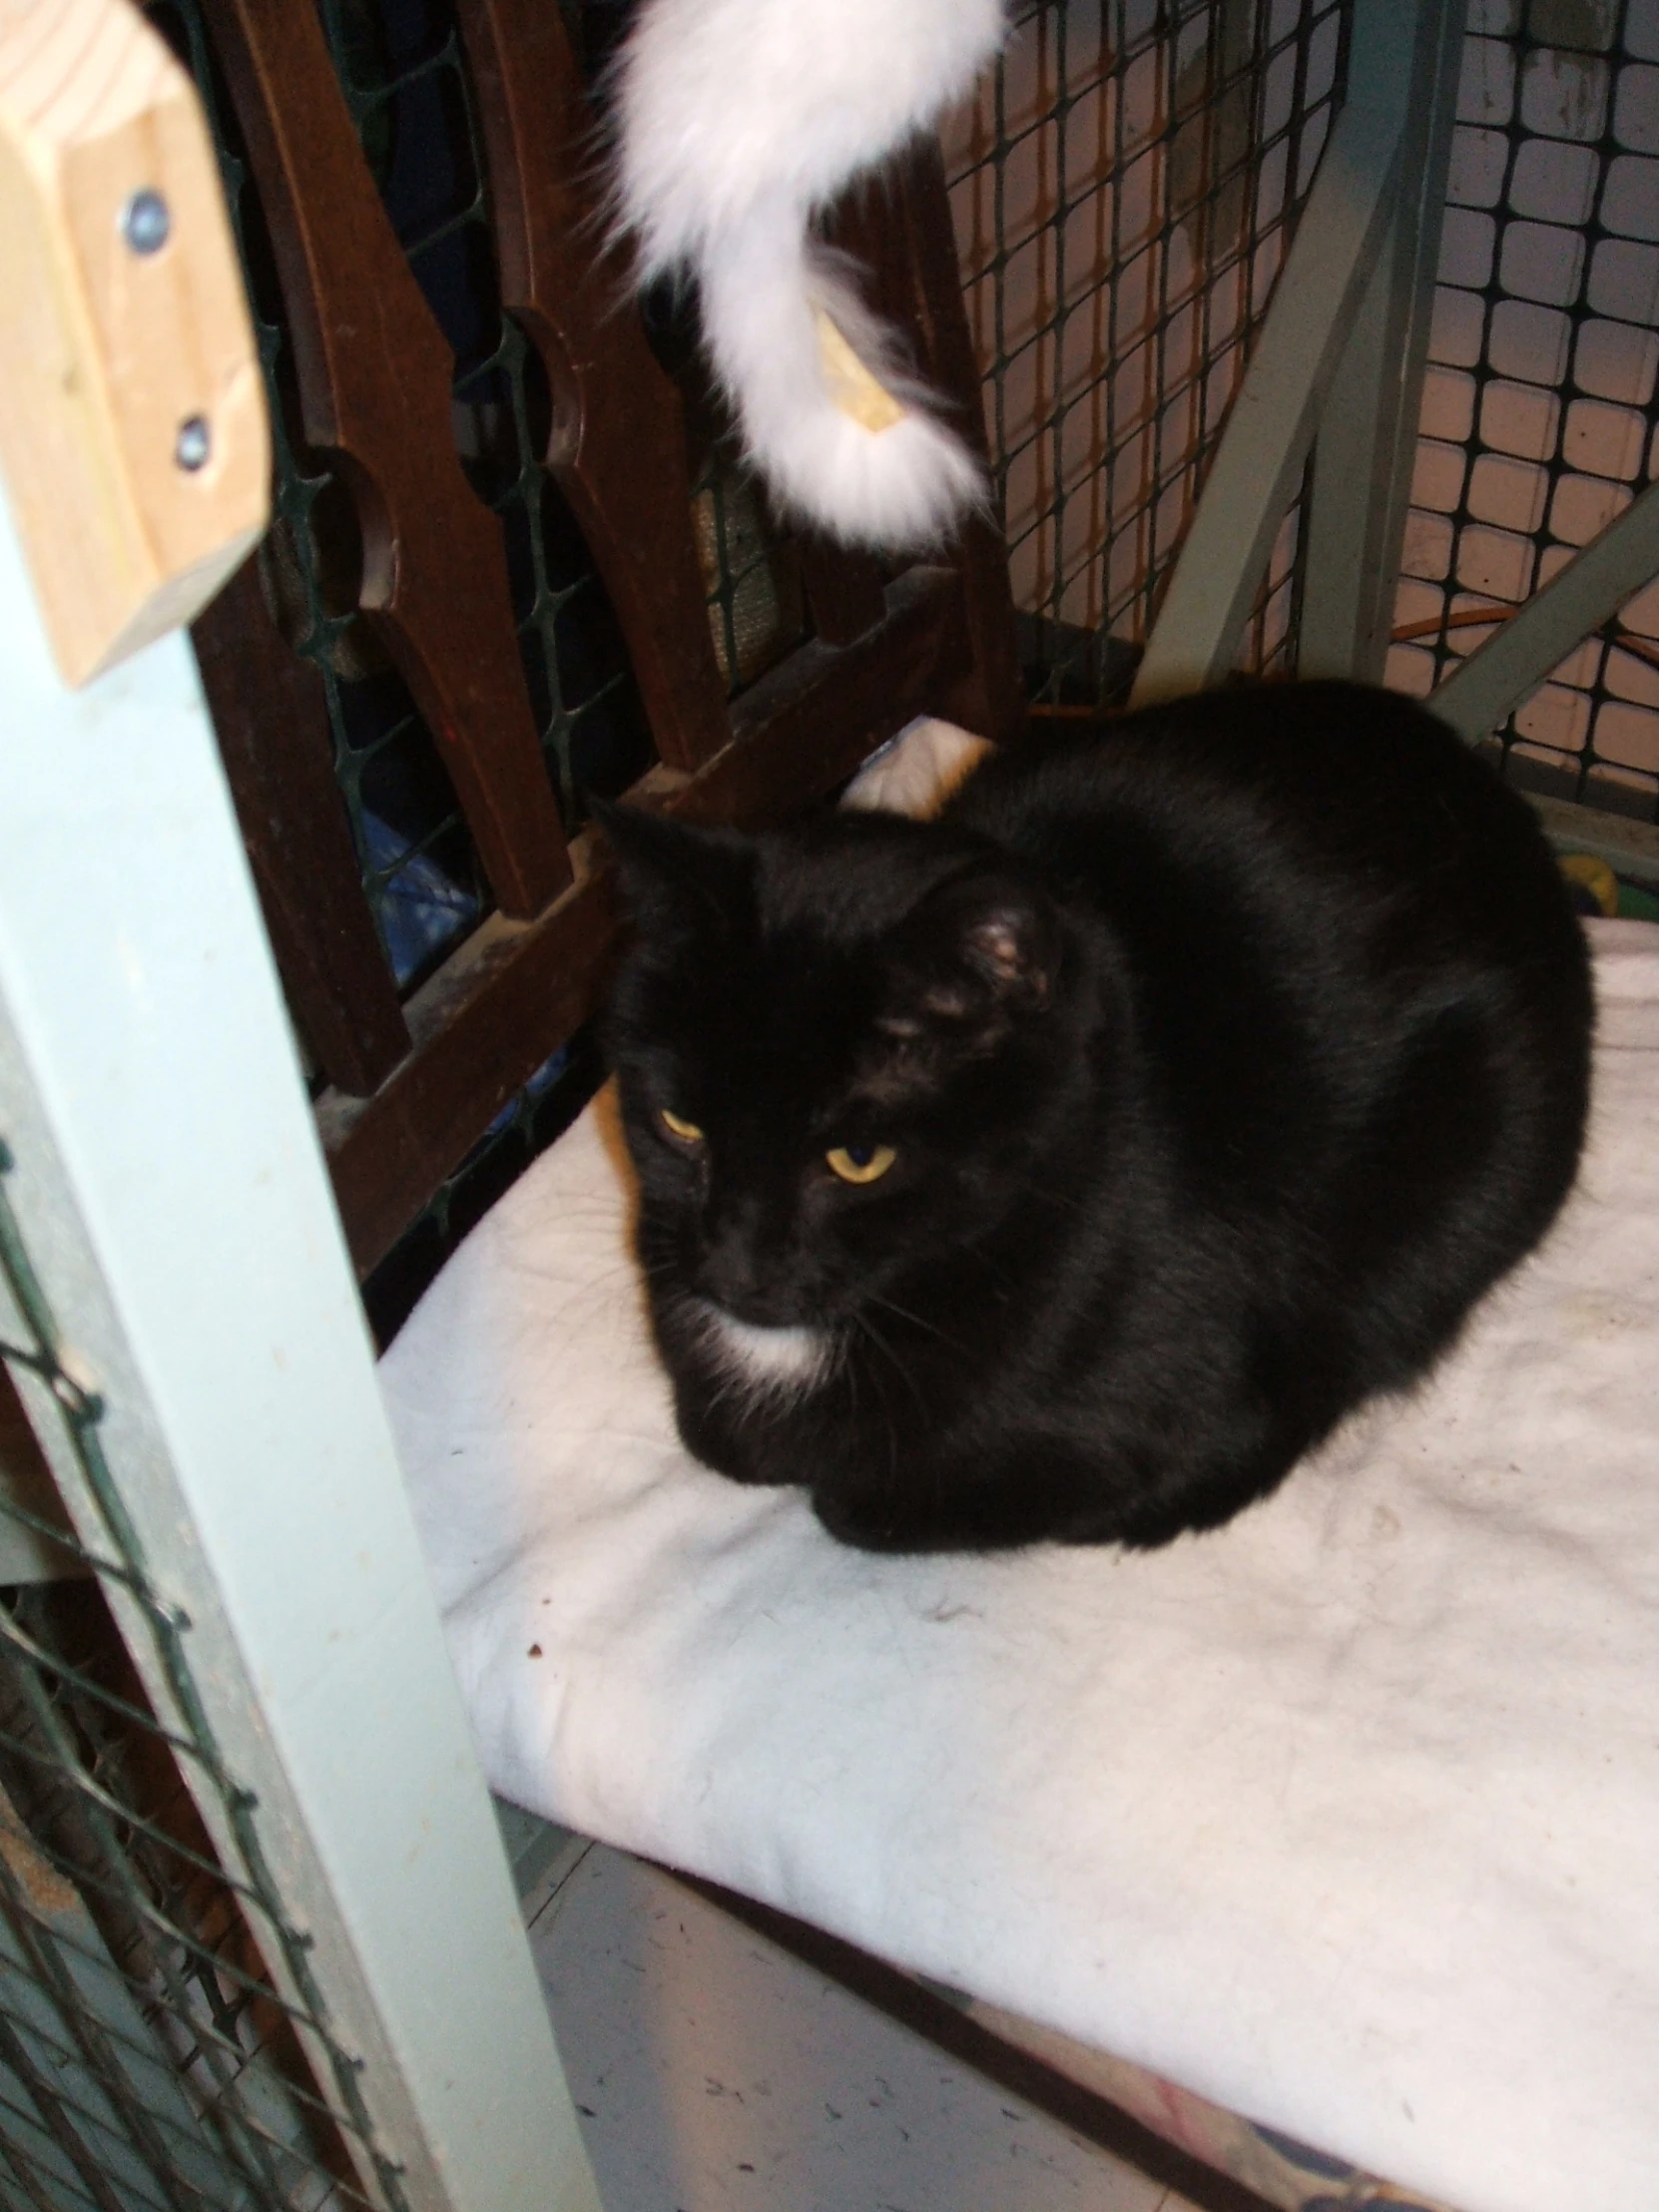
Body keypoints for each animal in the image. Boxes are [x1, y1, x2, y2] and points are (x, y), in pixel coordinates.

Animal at [601, 685, 1601, 1557]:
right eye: (681, 1125)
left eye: (857, 1156)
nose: (734, 1269)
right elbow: (719, 1433)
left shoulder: (1170, 1420)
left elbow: (862, 1501)